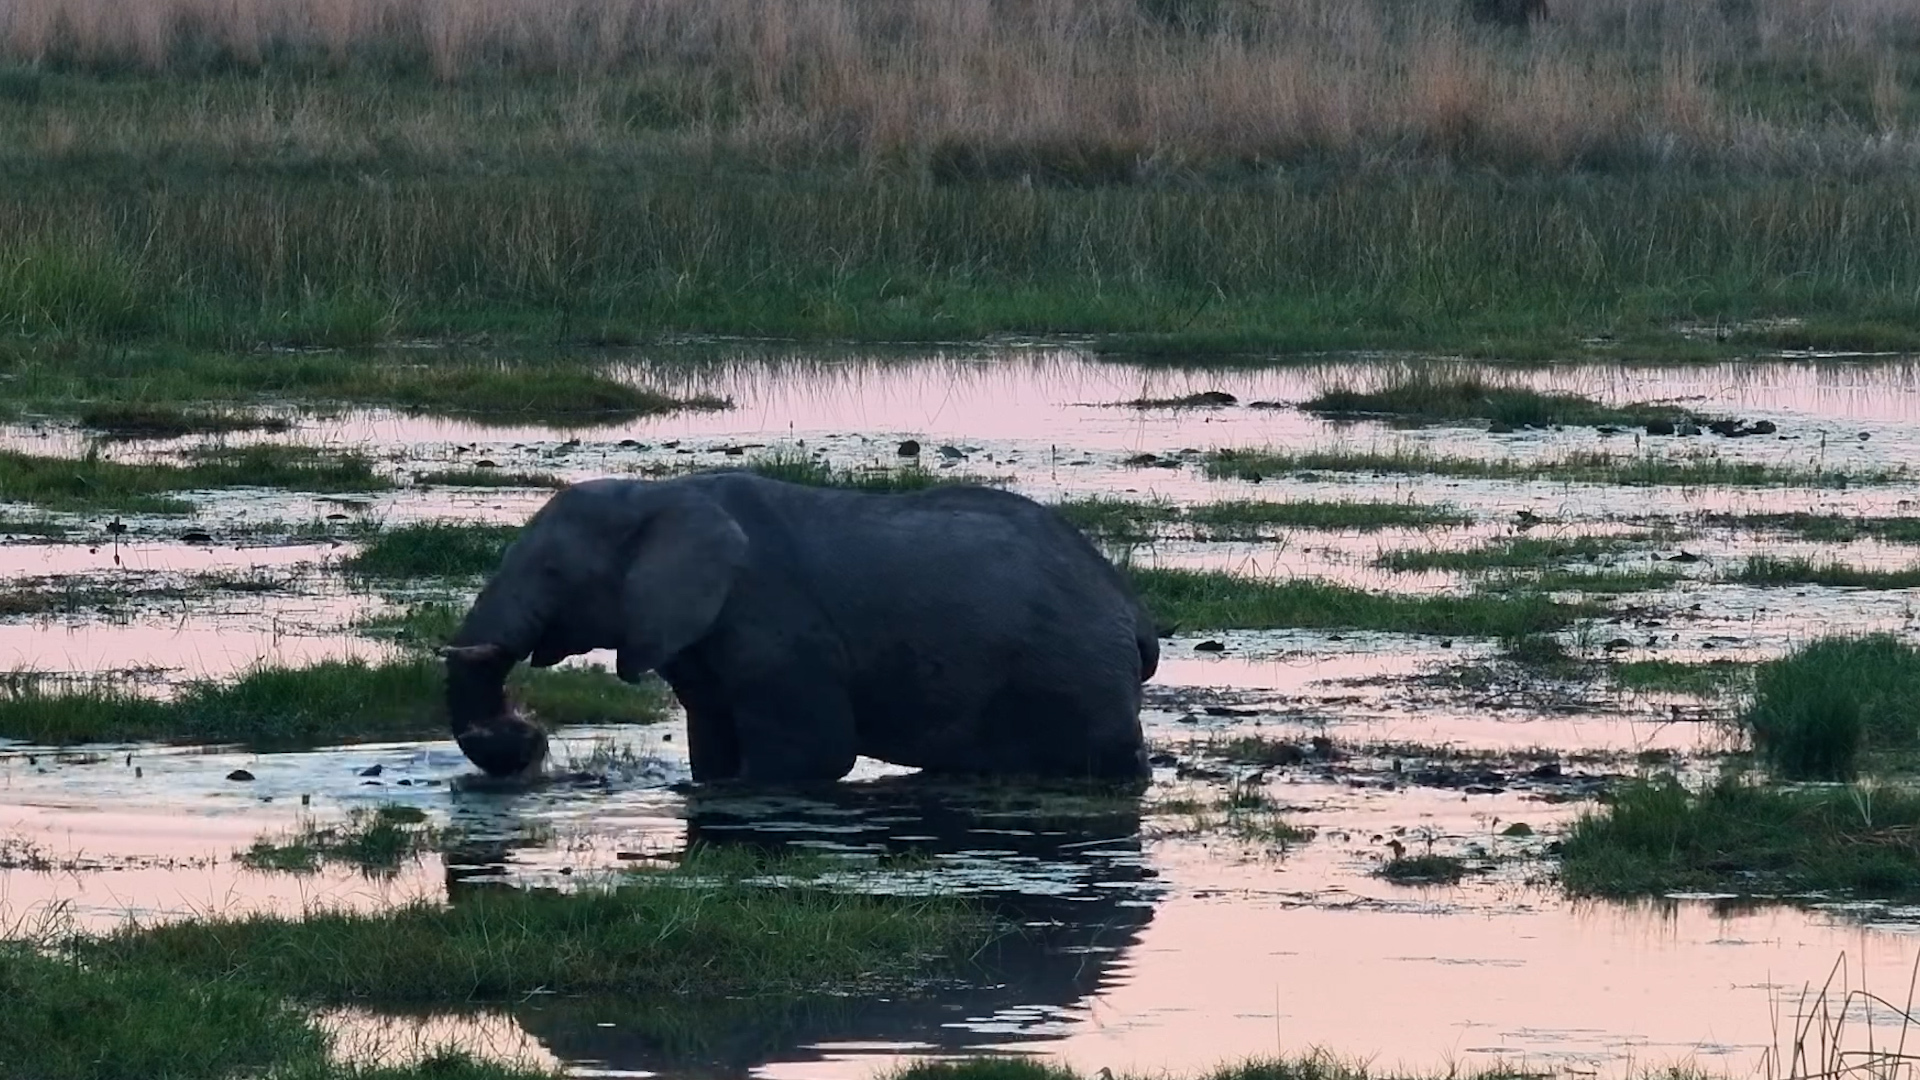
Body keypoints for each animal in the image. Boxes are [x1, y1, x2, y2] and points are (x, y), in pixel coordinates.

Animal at [438, 471, 1158, 784]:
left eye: (554, 571)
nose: (525, 739)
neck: (660, 493)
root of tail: (1133, 611)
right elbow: (713, 745)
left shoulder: (778, 627)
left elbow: (811, 757)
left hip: (1074, 668)